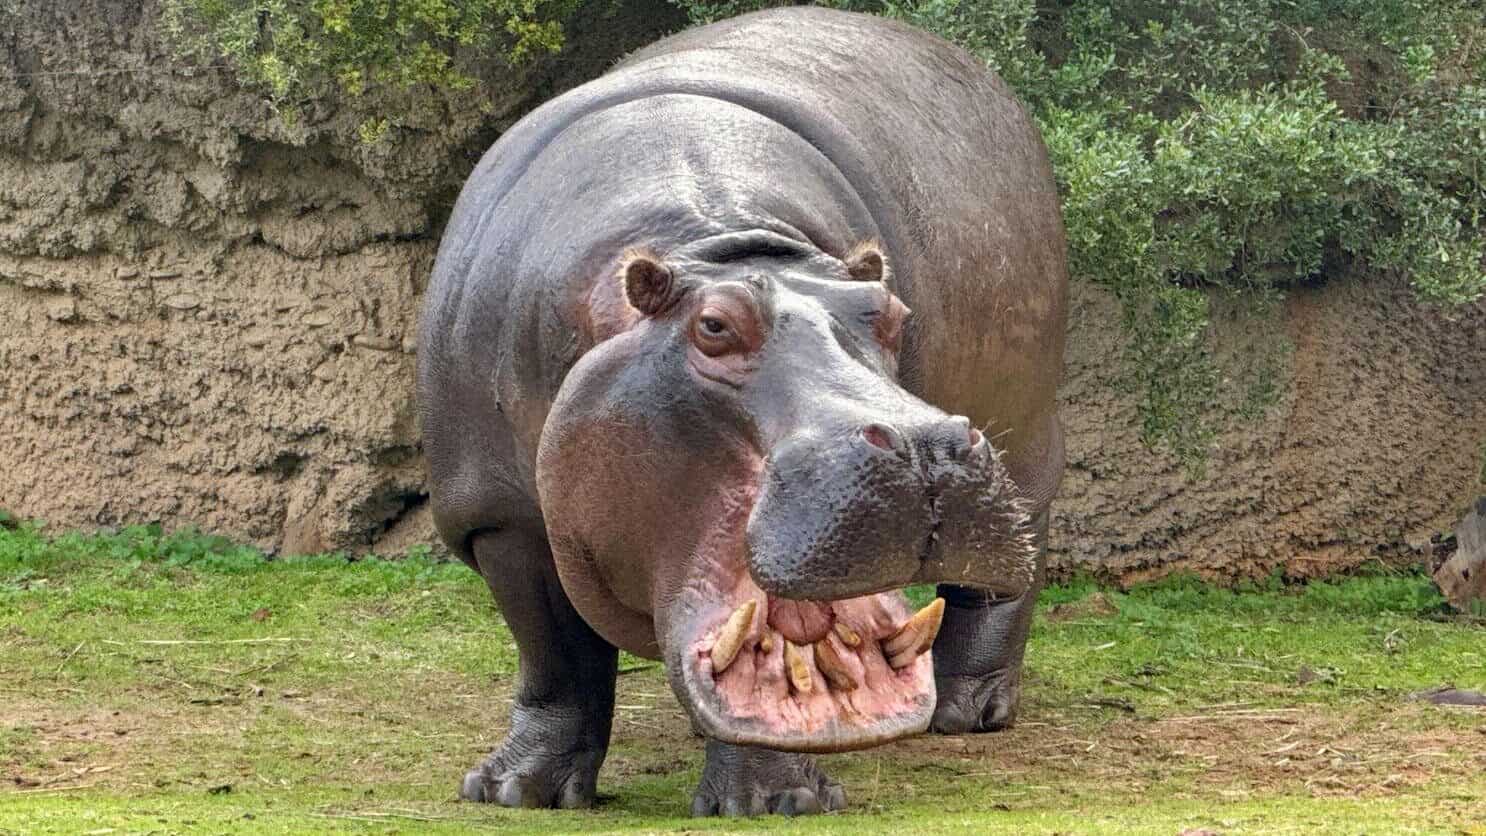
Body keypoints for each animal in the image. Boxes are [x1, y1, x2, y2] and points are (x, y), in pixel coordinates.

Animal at [418, 7, 1067, 816]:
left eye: (888, 313)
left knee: (1009, 567)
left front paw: (772, 803)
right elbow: (555, 657)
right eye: (714, 327)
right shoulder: (497, 516)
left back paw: (967, 711)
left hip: (1027, 435)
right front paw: (513, 791)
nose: (928, 445)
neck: (717, 244)